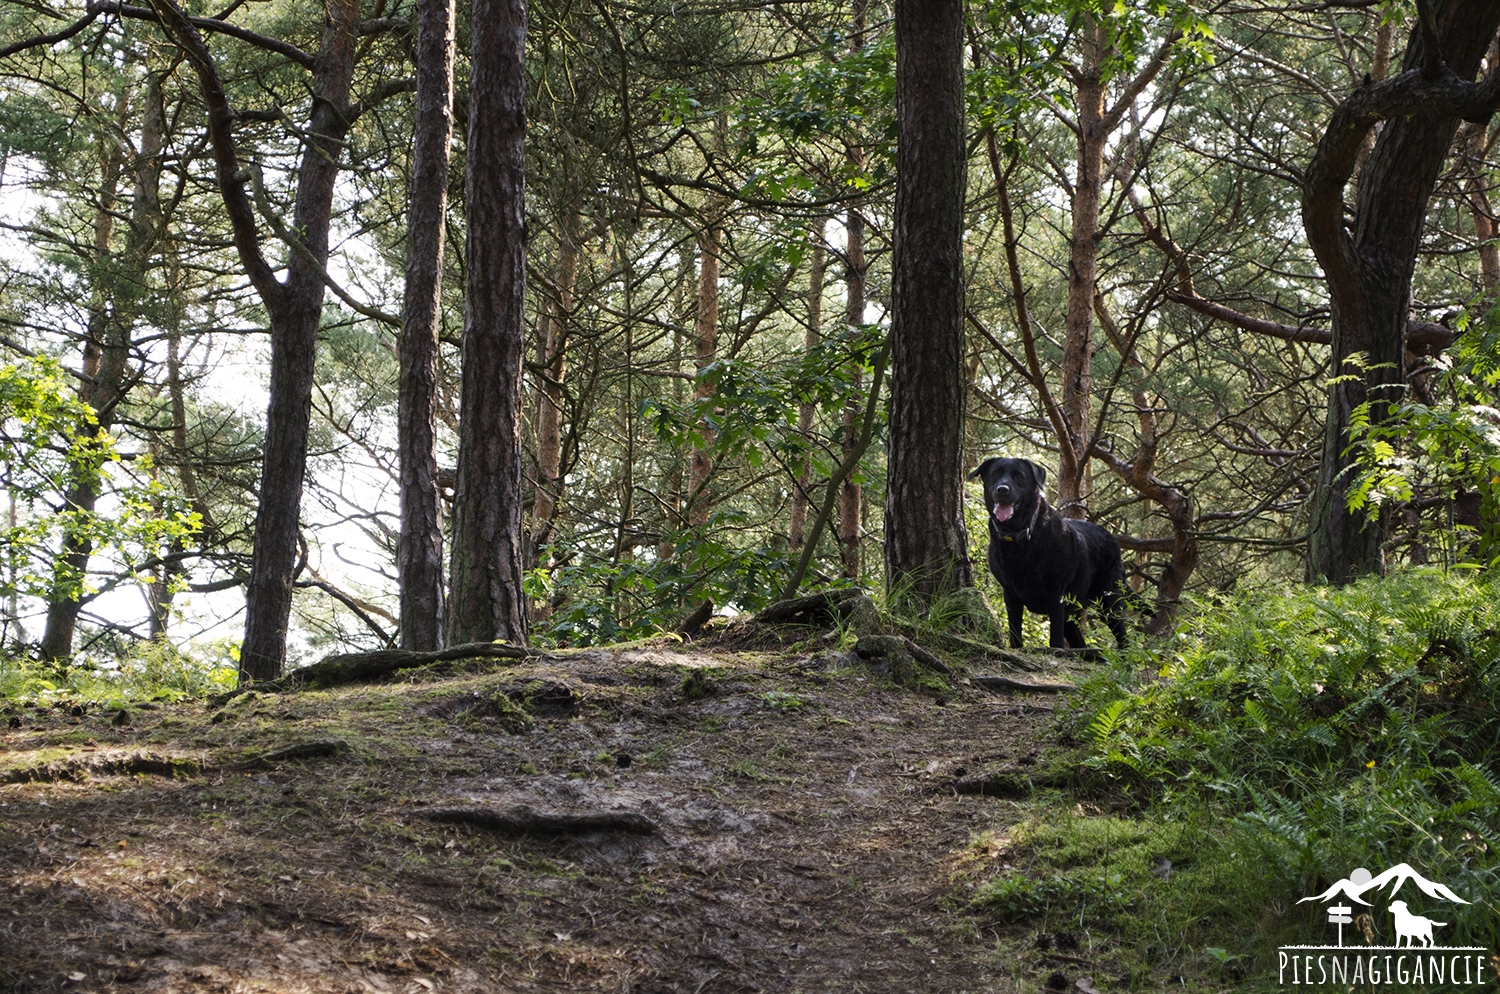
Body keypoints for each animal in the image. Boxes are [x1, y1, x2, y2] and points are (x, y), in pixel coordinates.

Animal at [972, 458, 1128, 653]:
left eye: (1019, 476)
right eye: (995, 474)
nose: (1002, 489)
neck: (1019, 536)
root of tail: (1111, 536)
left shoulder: (1055, 593)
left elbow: (1055, 638)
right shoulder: (1010, 593)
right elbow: (1015, 633)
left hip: (1110, 601)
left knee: (1125, 639)